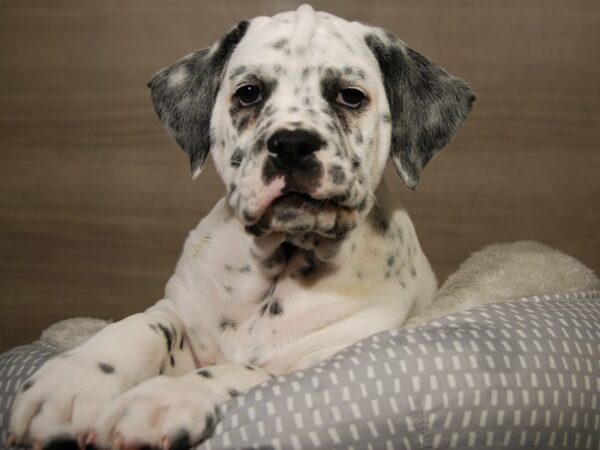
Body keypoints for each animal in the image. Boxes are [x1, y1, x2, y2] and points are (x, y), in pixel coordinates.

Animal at [5, 4, 474, 450]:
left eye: (350, 96)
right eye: (249, 93)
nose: (292, 144)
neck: (279, 269)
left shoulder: (321, 361)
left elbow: (240, 372)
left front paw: (158, 399)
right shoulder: (180, 314)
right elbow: (141, 327)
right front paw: (74, 380)